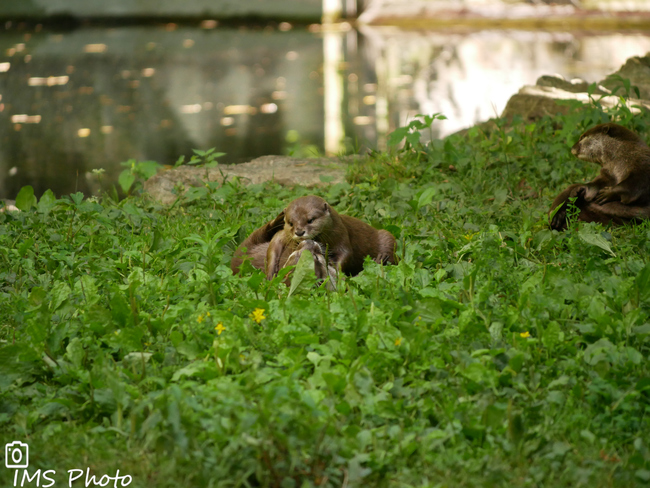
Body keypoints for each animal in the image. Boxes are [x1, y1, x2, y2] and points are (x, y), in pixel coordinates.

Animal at [264, 194, 394, 278]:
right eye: (290, 223)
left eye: (310, 220)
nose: (299, 232)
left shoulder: (341, 234)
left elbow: (346, 254)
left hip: (387, 237)